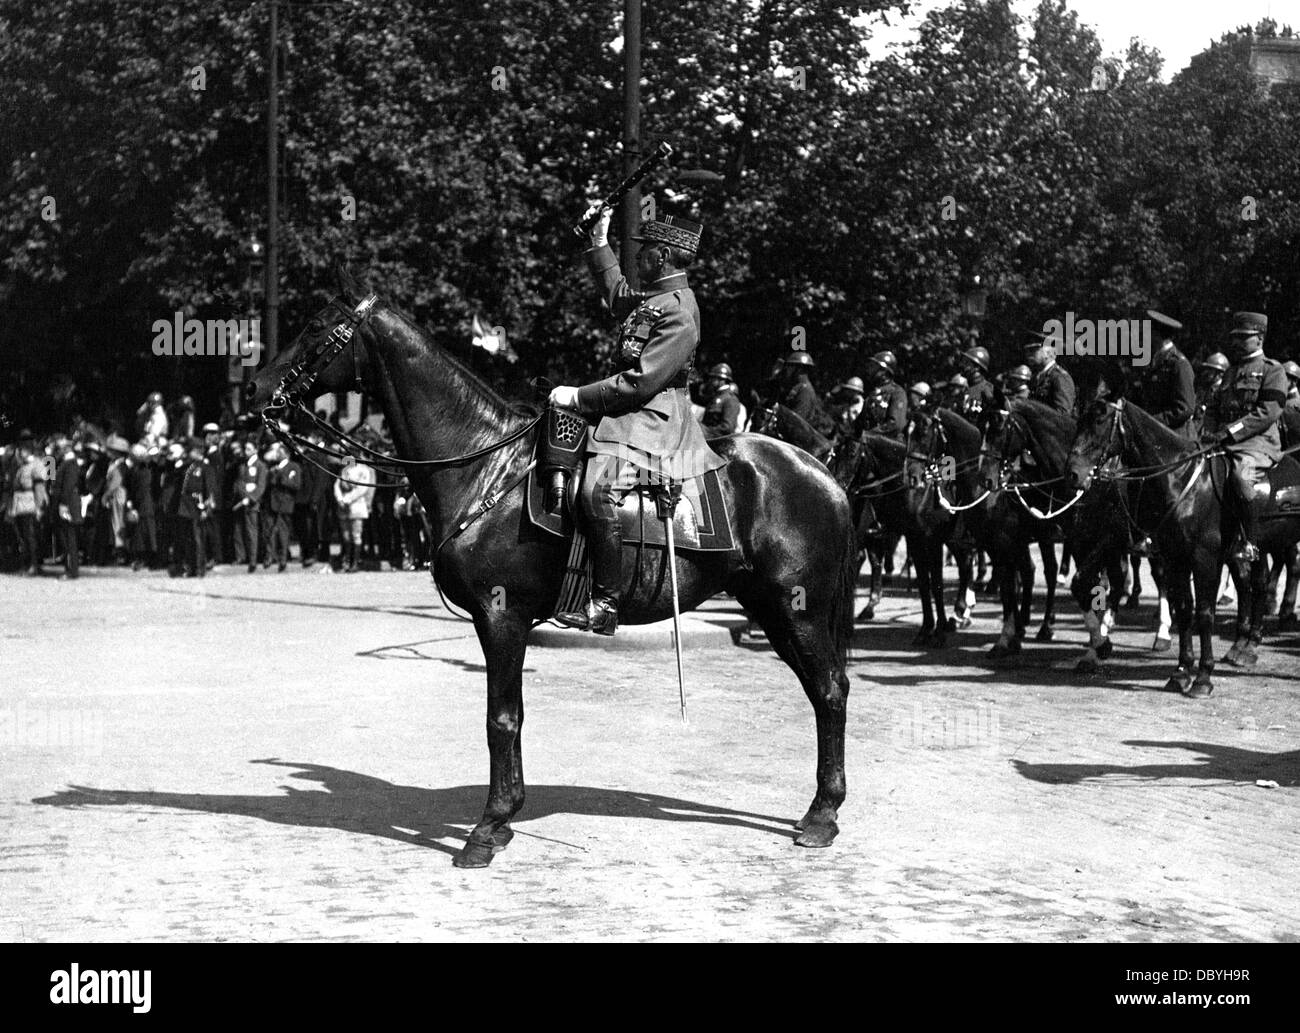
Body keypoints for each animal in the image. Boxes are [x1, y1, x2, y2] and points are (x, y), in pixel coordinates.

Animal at [249, 270, 863, 867]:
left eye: (316, 327)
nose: (255, 387)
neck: (486, 465)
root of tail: (823, 472)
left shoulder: (501, 616)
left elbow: (501, 719)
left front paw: (487, 828)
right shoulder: (506, 623)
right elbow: (512, 716)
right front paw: (503, 821)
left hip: (797, 608)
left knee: (830, 689)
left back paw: (822, 817)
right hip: (771, 608)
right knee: (822, 690)